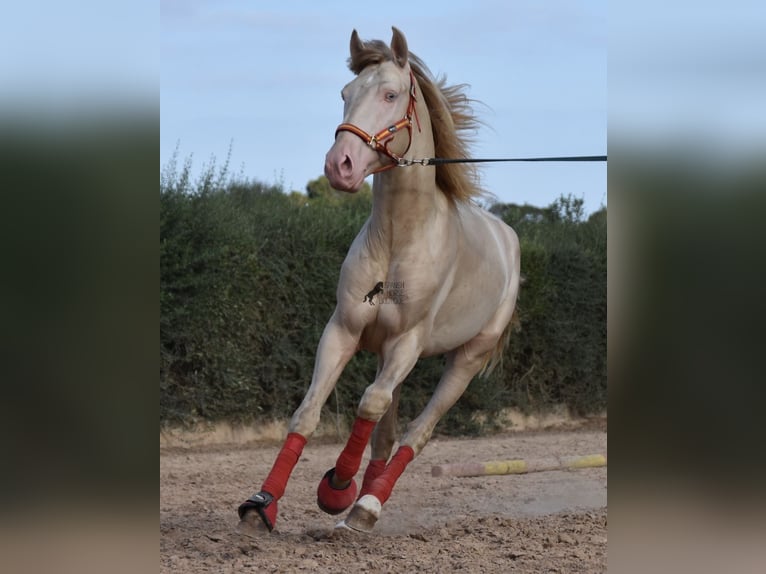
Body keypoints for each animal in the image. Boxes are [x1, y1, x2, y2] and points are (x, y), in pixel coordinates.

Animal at [237, 25, 520, 536]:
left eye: (390, 94)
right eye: (345, 94)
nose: (340, 165)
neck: (397, 239)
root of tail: (507, 238)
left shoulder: (407, 343)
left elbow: (368, 405)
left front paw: (337, 488)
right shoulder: (344, 331)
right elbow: (308, 413)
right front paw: (262, 503)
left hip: (465, 359)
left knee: (416, 432)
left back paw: (367, 505)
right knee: (386, 434)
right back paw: (359, 504)